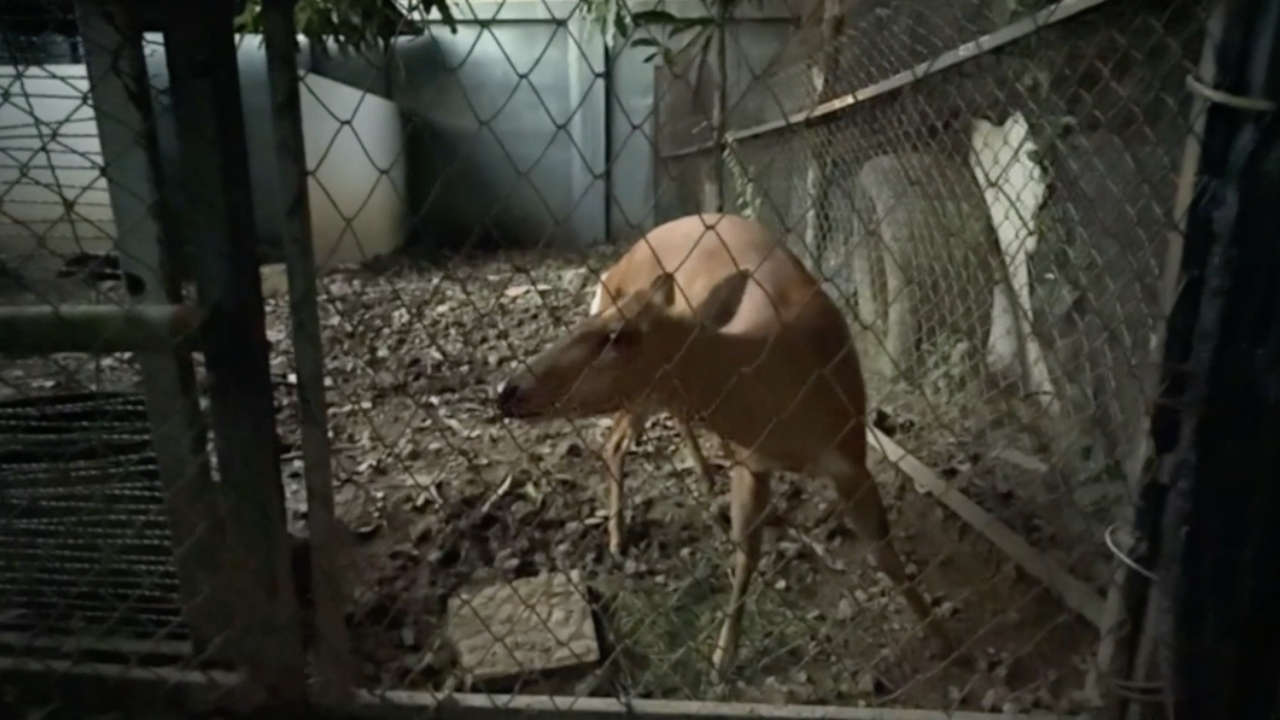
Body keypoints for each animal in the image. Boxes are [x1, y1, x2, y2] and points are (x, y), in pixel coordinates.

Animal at [494, 213, 947, 676]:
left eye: (619, 337)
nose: (507, 390)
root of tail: (615, 270)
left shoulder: (851, 452)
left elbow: (883, 552)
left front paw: (940, 638)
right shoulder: (753, 461)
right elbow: (746, 551)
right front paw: (722, 656)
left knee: (647, 427)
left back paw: (699, 481)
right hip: (644, 395)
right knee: (617, 440)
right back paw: (619, 537)